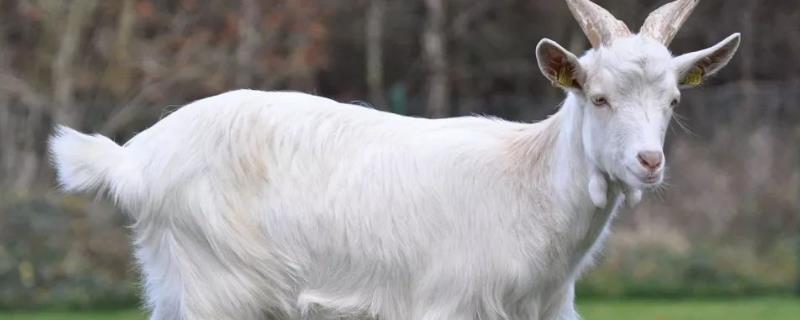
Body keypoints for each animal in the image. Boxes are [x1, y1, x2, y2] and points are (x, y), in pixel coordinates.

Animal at [48, 1, 736, 318]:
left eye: (673, 100)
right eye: (597, 97)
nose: (649, 162)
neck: (528, 183)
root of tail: (134, 159)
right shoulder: (449, 302)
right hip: (217, 287)